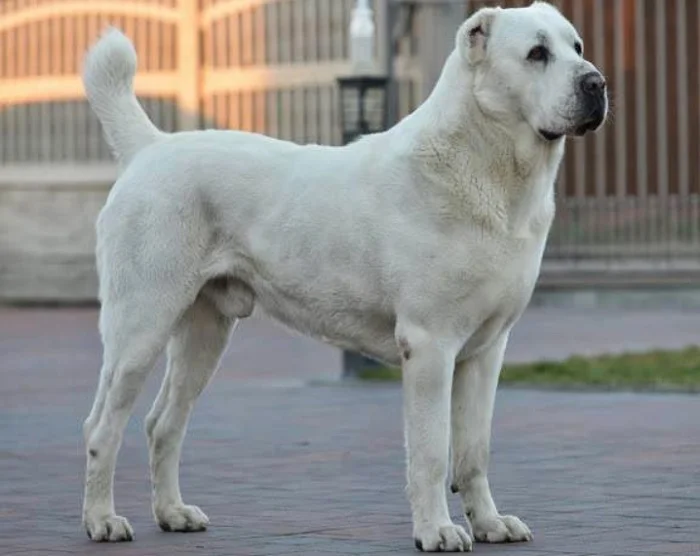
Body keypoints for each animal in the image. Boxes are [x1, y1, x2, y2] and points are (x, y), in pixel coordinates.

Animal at [80, 2, 608, 552]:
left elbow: (473, 450)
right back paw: (102, 521)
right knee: (102, 427)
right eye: (536, 53)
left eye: (577, 47)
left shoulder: (486, 351)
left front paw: (488, 523)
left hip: (205, 333)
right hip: (140, 326)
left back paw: (172, 513)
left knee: (162, 423)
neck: (491, 167)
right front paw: (437, 530)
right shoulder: (429, 344)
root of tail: (150, 147)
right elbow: (431, 451)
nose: (596, 83)